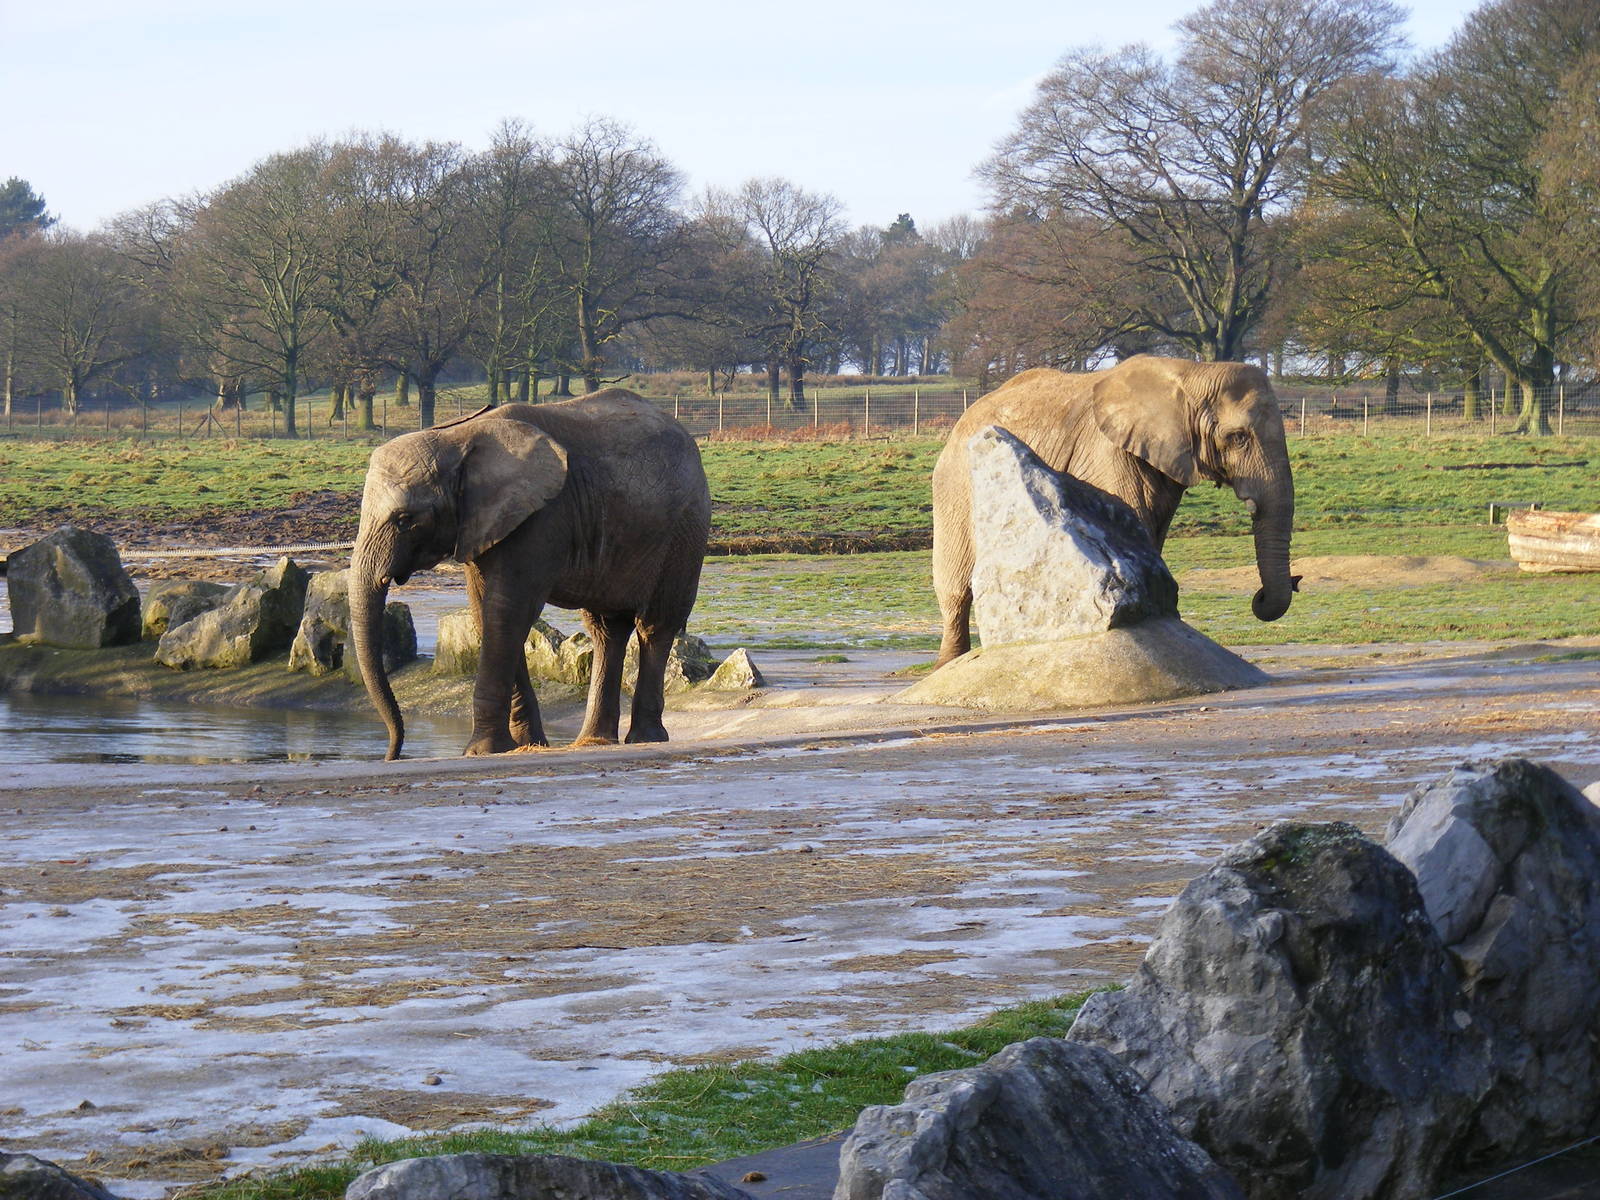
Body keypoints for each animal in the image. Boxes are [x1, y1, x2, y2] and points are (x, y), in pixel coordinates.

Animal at [349, 390, 711, 760]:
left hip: (684, 531)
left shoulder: (540, 518)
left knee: (656, 625)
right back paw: (594, 740)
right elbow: (486, 613)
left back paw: (643, 738)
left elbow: (507, 609)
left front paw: (481, 752)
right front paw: (526, 745)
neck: (457, 437)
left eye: (404, 519)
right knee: (607, 630)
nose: (392, 754)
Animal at [931, 355, 1297, 666]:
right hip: (956, 482)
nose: (1261, 595)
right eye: (1237, 437)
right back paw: (949, 665)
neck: (1191, 372)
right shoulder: (1109, 453)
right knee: (956, 583)